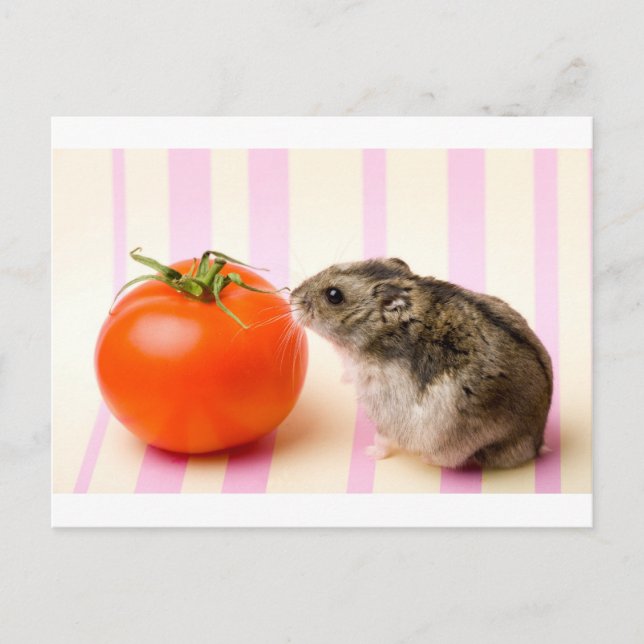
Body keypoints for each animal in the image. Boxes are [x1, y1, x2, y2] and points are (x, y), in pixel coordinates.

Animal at [290, 258, 552, 469]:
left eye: (334, 295)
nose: (292, 296)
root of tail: (538, 440)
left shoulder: (381, 403)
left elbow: (382, 438)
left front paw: (369, 454)